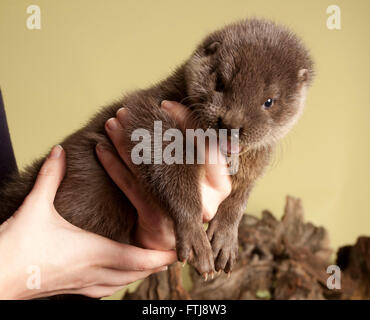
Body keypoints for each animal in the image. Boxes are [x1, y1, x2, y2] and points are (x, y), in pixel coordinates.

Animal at [0, 19, 312, 282]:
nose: (231, 123)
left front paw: (225, 238)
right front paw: (194, 235)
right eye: (221, 82)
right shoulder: (149, 113)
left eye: (269, 101)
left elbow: (239, 199)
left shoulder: (256, 165)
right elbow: (169, 163)